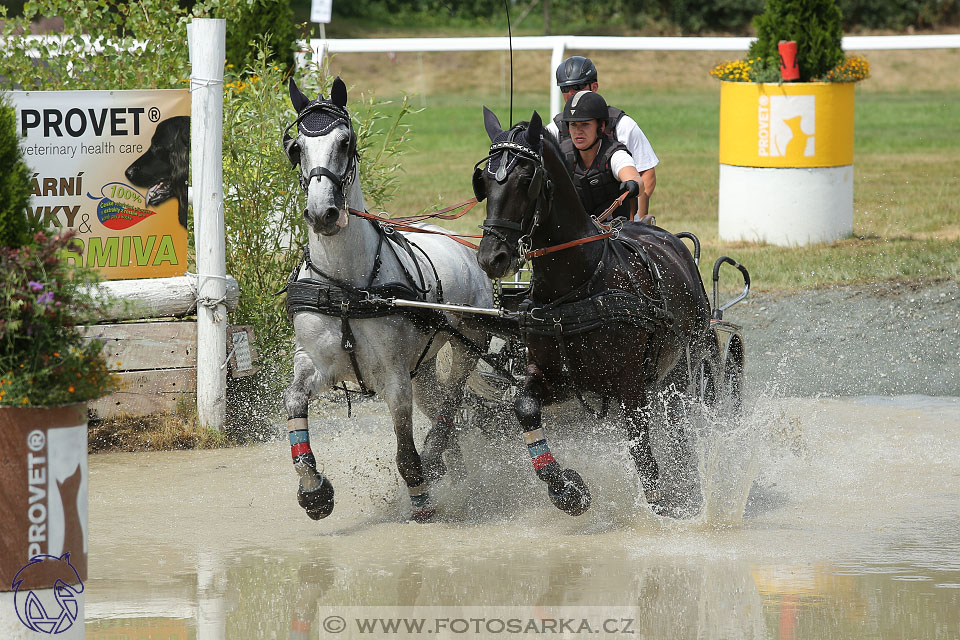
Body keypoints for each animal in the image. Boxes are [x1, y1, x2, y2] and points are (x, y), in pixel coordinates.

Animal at [474, 107, 712, 516]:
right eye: (484, 181)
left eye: (526, 179)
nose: (492, 257)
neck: (576, 285)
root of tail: (671, 241)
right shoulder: (558, 379)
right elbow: (524, 406)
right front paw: (566, 488)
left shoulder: (631, 384)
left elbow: (642, 451)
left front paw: (660, 503)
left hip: (683, 364)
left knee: (678, 423)